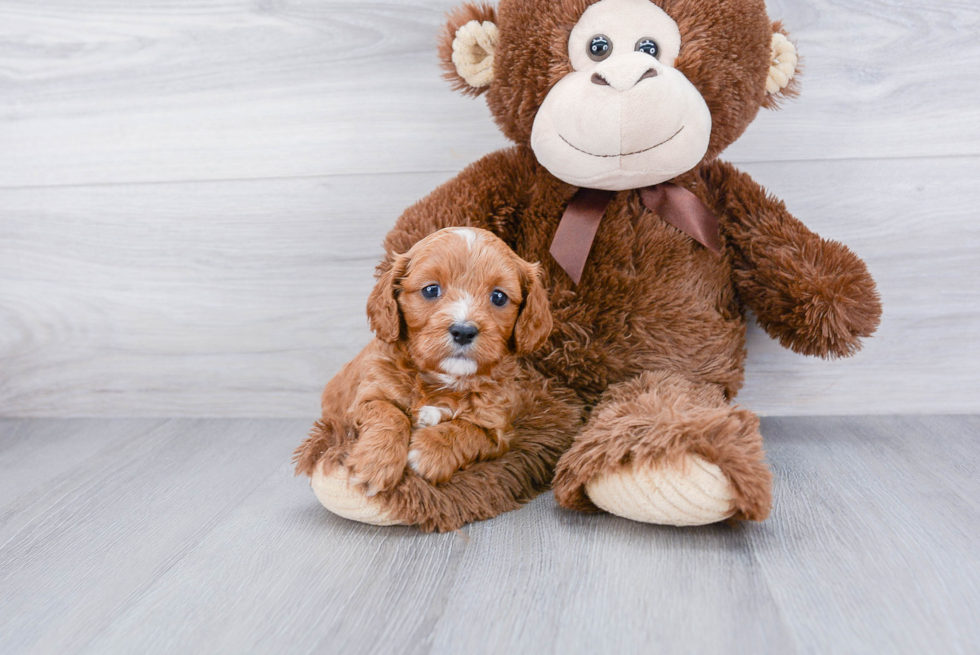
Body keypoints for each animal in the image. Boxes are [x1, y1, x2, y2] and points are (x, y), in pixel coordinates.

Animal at [326, 228, 548, 494]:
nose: (463, 331)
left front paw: (428, 452)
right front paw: (375, 463)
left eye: (498, 297)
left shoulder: (498, 428)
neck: (444, 380)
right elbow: (389, 413)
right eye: (431, 290)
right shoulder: (366, 397)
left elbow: (469, 430)